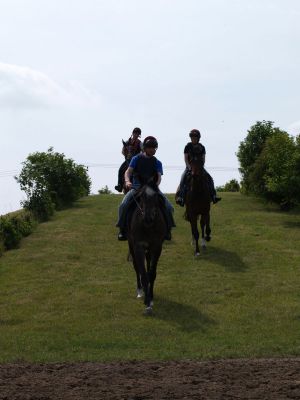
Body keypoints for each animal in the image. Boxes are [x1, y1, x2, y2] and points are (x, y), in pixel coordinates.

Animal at [126, 180, 168, 312]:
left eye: (155, 196)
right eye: (141, 196)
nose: (148, 218)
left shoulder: (157, 246)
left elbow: (151, 273)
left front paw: (151, 296)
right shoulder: (138, 246)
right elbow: (143, 273)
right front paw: (147, 302)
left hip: (149, 250)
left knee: (148, 263)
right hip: (131, 245)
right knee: (136, 267)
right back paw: (140, 291)